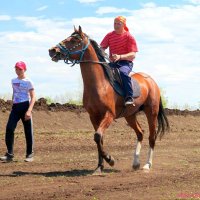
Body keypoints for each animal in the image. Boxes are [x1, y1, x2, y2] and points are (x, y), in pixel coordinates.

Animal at [48, 26, 169, 173]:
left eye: (74, 40)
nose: (52, 50)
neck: (99, 84)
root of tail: (151, 81)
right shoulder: (94, 116)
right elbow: (99, 139)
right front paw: (100, 166)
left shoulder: (109, 115)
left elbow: (98, 136)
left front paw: (110, 160)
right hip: (130, 115)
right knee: (140, 133)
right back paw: (135, 163)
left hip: (151, 112)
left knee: (152, 136)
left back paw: (147, 165)